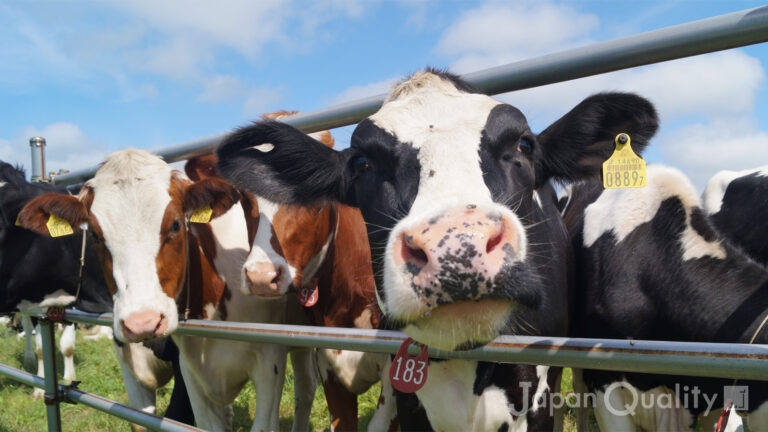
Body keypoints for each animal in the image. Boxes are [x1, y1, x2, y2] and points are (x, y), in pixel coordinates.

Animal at [20, 148, 316, 432]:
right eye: (94, 234)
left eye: (175, 224)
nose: (142, 322)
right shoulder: (177, 369)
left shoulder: (269, 361)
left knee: (305, 390)